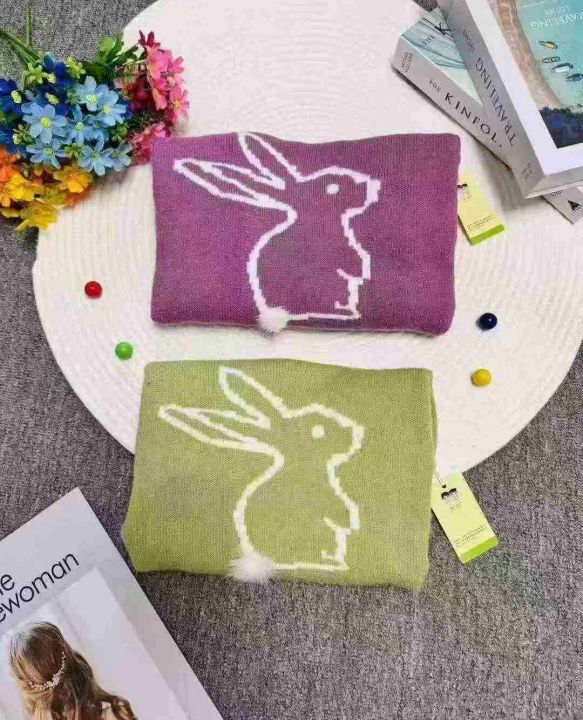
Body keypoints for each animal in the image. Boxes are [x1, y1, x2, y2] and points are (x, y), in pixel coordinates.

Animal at [173, 132, 381, 333]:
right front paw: (362, 271)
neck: (315, 216)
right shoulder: (333, 245)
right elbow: (346, 260)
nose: (370, 184)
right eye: (333, 188)